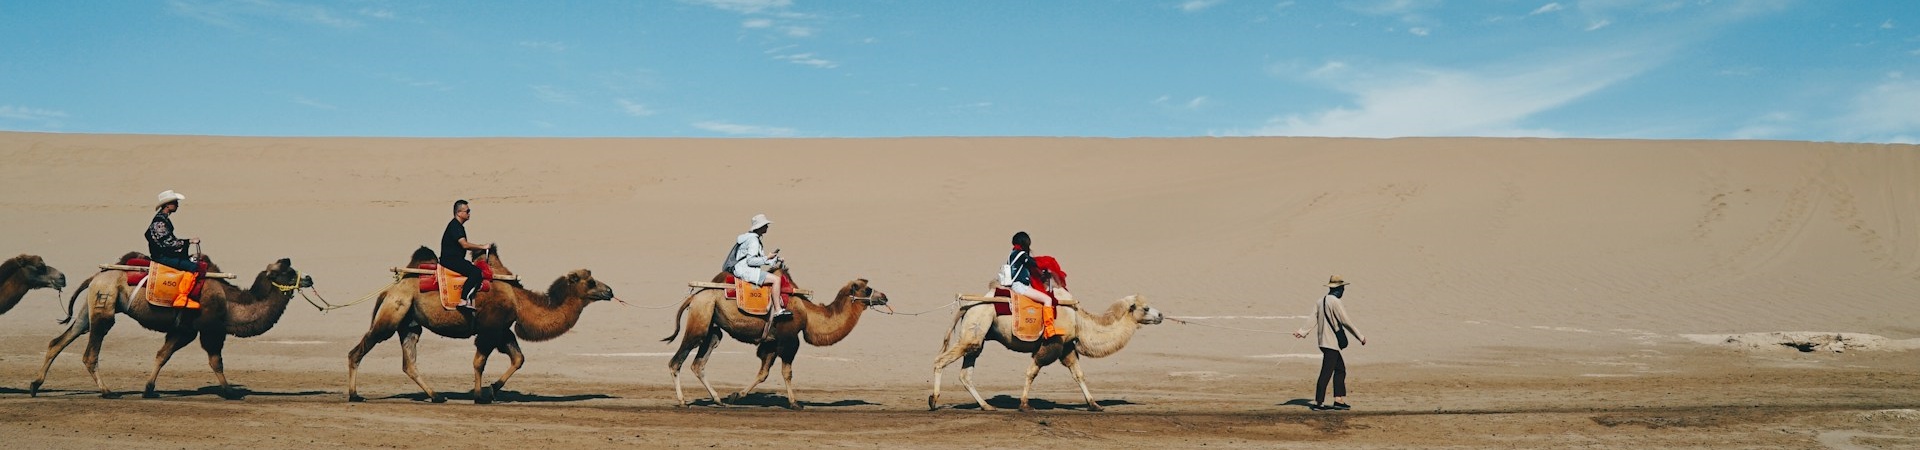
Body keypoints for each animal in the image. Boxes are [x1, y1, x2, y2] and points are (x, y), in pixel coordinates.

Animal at [29, 251, 311, 398]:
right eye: (287, 272)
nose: (308, 278)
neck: (230, 303)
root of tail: (96, 276)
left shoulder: (184, 330)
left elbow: (162, 355)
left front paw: (148, 389)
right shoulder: (200, 329)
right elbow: (215, 361)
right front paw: (230, 391)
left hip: (90, 310)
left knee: (59, 340)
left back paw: (35, 385)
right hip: (104, 308)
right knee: (89, 353)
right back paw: (107, 391)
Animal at [345, 246, 614, 403]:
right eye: (590, 282)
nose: (610, 290)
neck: (519, 300)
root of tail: (390, 289)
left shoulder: (502, 330)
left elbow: (518, 359)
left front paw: (493, 389)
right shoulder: (489, 330)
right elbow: (479, 362)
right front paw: (479, 395)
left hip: (410, 323)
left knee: (408, 362)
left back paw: (436, 396)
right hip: (393, 313)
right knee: (359, 350)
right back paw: (355, 395)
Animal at [664, 265, 887, 409]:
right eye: (867, 289)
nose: (884, 296)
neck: (808, 313)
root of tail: (693, 297)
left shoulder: (771, 342)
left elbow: (763, 373)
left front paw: (737, 396)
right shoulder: (789, 340)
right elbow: (787, 372)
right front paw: (795, 403)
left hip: (713, 329)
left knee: (698, 364)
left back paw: (719, 400)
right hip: (700, 321)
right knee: (676, 361)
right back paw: (683, 402)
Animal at [925, 294, 1159, 413]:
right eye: (1146, 308)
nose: (1160, 315)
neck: (1079, 320)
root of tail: (967, 306)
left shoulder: (1067, 346)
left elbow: (1079, 374)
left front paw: (1095, 405)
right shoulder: (1051, 343)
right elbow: (1032, 372)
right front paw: (1024, 404)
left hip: (977, 336)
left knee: (966, 373)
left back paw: (986, 406)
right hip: (976, 327)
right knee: (940, 360)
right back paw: (934, 401)